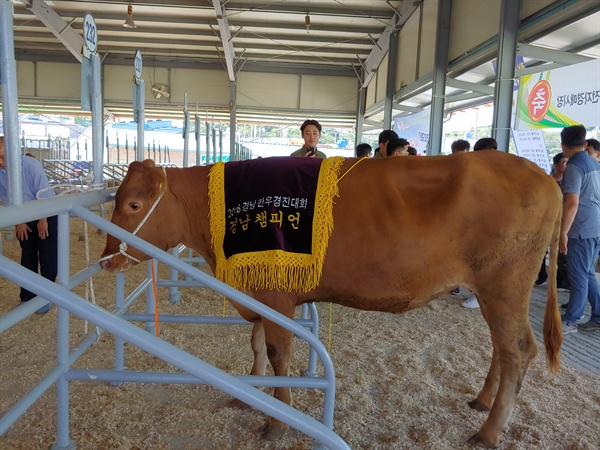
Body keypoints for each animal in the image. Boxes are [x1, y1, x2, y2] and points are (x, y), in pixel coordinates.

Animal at [101, 153, 564, 448]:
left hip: (506, 284)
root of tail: (543, 177)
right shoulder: (255, 292)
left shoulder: (276, 296)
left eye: (134, 204)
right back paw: (482, 401)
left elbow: (278, 354)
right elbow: (255, 343)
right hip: (493, 292)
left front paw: (276, 420)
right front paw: (245, 392)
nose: (106, 260)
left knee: (519, 349)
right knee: (502, 347)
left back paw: (489, 431)